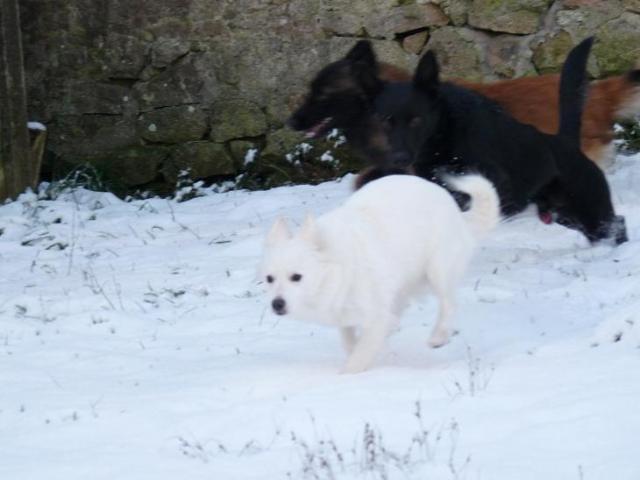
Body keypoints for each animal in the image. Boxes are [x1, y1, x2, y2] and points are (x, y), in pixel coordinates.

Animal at [260, 174, 500, 374]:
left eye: (296, 277)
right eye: (269, 279)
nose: (276, 304)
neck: (336, 268)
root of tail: (458, 214)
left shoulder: (375, 317)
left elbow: (361, 352)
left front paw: (348, 374)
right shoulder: (347, 317)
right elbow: (349, 341)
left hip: (437, 270)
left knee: (448, 303)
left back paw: (439, 336)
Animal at [370, 38, 624, 244]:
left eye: (416, 120)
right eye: (386, 121)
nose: (399, 158)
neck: (444, 136)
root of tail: (566, 142)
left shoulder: (494, 185)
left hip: (592, 210)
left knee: (617, 225)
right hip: (568, 215)